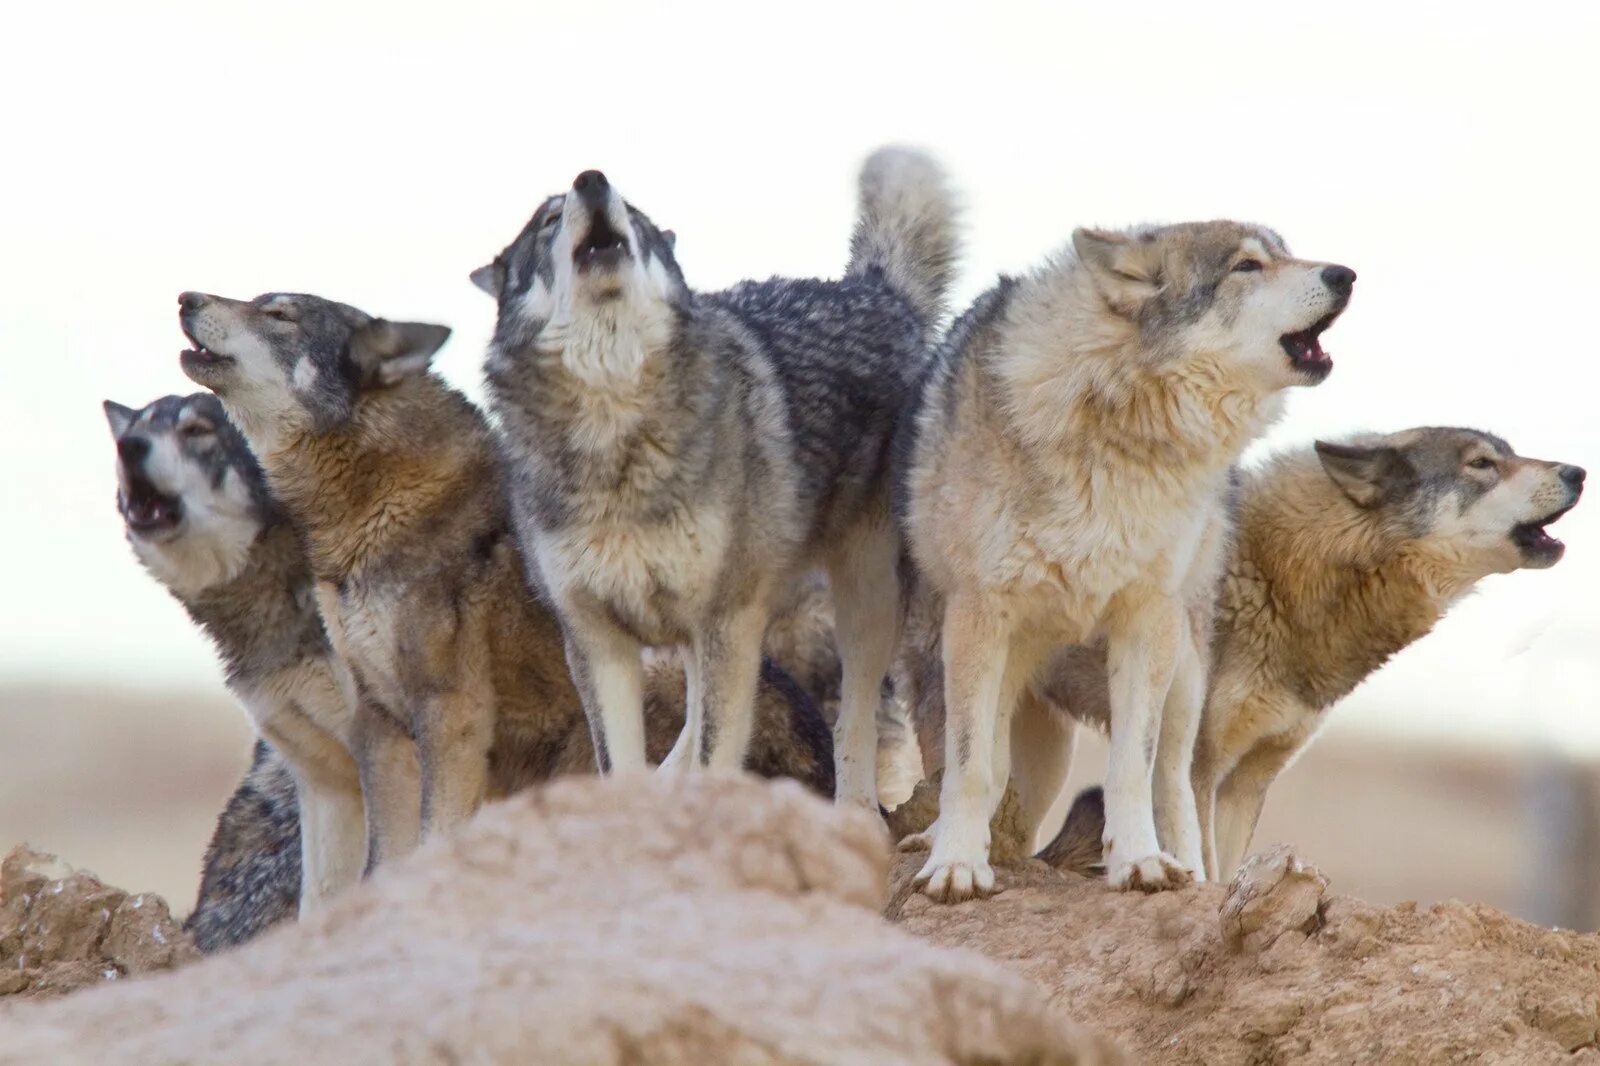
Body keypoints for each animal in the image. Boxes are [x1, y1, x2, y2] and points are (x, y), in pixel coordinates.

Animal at [470, 143, 947, 806]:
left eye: (633, 210)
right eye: (549, 220)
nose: (592, 180)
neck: (613, 426)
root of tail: (875, 290)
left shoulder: (727, 620)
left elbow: (720, 751)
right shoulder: (597, 642)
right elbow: (622, 765)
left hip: (860, 602)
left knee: (851, 727)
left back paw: (858, 812)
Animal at [902, 217, 1350, 896]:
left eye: (1287, 253)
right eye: (1247, 266)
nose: (1345, 274)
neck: (1119, 412)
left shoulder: (1145, 620)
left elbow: (1131, 772)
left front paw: (1138, 862)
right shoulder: (977, 617)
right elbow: (969, 766)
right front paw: (955, 865)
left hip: (1185, 668)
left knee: (1177, 785)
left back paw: (1189, 873)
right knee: (993, 772)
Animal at [1024, 428, 1587, 877]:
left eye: (1508, 454)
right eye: (1481, 464)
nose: (1579, 472)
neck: (1279, 581)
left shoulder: (1248, 781)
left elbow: (1226, 874)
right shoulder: (1198, 768)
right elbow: (1205, 867)